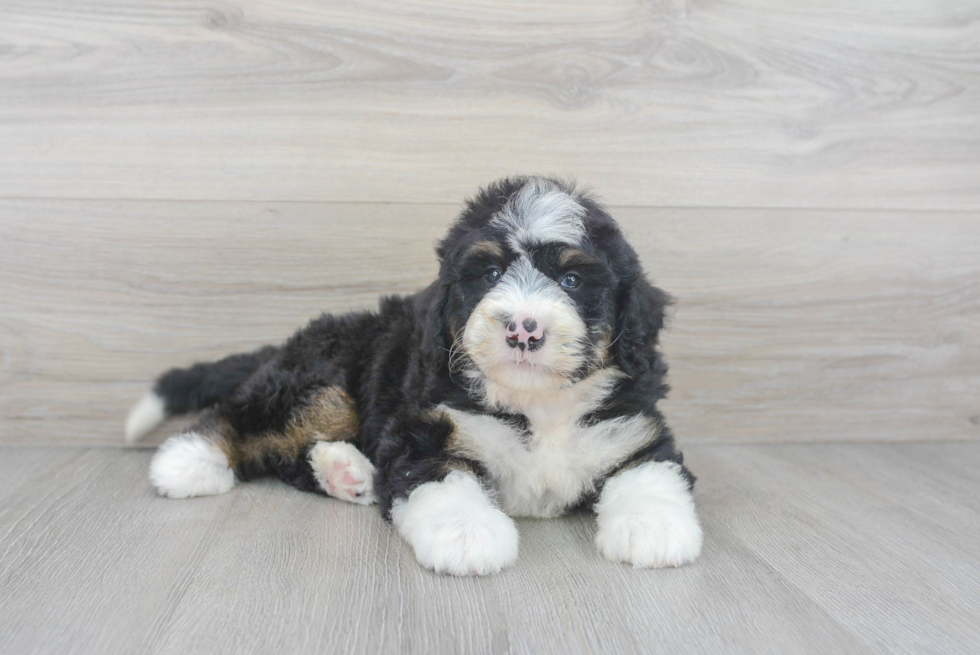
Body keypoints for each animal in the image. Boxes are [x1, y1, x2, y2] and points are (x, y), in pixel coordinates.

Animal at [126, 177, 700, 576]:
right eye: (491, 274)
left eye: (573, 279)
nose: (522, 329)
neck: (537, 403)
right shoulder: (426, 429)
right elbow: (444, 477)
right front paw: (468, 535)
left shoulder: (632, 427)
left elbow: (650, 471)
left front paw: (655, 526)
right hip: (326, 377)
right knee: (251, 417)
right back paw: (190, 460)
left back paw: (346, 472)